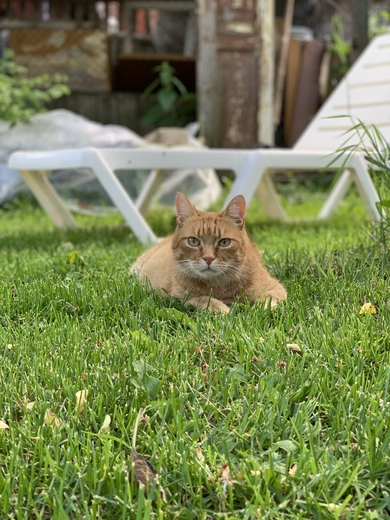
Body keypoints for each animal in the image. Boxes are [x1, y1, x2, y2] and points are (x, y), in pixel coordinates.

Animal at [131, 192, 286, 310]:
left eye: (224, 242)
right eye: (193, 241)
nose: (208, 258)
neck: (218, 285)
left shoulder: (277, 288)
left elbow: (268, 300)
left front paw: (257, 309)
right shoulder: (178, 299)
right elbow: (205, 300)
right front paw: (224, 310)